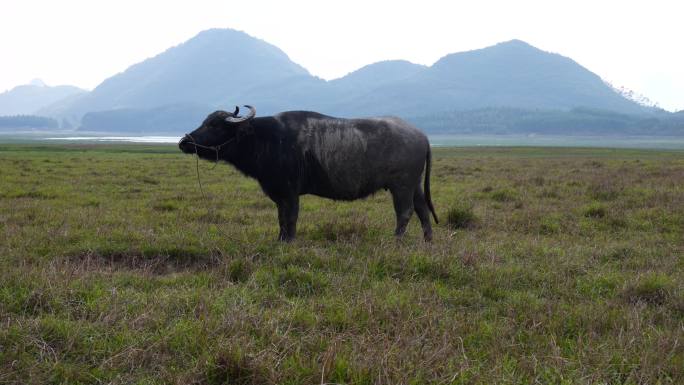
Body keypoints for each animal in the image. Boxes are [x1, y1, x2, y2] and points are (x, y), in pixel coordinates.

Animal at [179, 106, 438, 240]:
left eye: (215, 125)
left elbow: (291, 218)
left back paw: (396, 240)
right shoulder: (279, 193)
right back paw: (427, 241)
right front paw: (280, 239)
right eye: (205, 121)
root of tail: (422, 136)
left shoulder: (290, 192)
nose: (184, 142)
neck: (268, 139)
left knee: (405, 213)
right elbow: (281, 218)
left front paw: (289, 241)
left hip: (401, 186)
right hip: (414, 186)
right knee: (422, 211)